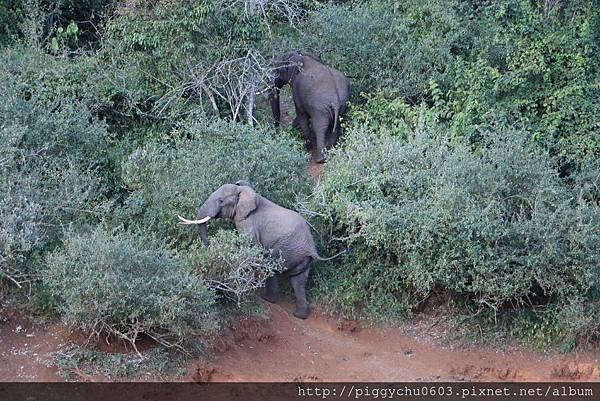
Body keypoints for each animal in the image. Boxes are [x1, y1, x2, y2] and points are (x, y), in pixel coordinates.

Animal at [176, 183, 350, 318]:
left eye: (221, 201)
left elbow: (250, 247)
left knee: (270, 267)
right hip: (302, 259)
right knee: (298, 281)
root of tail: (312, 249)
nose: (207, 247)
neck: (244, 192)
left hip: (286, 249)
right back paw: (299, 315)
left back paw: (268, 299)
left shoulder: (248, 223)